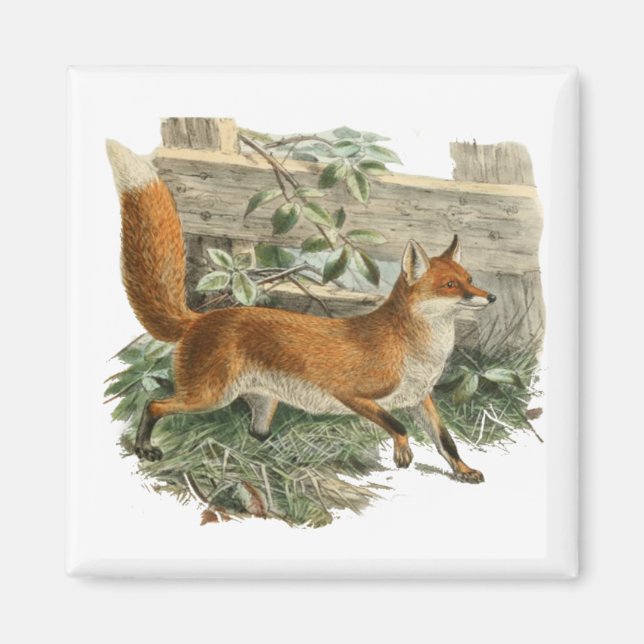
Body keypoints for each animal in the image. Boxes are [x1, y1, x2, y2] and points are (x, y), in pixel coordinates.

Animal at [106, 140, 496, 484]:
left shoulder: (420, 398)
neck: (418, 351)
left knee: (256, 432)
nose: (491, 297)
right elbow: (398, 426)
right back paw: (145, 448)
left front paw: (464, 471)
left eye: (470, 279)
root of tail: (200, 318)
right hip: (209, 396)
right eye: (450, 285)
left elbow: (446, 442)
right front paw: (403, 452)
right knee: (154, 405)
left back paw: (284, 461)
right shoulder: (351, 392)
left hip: (262, 403)